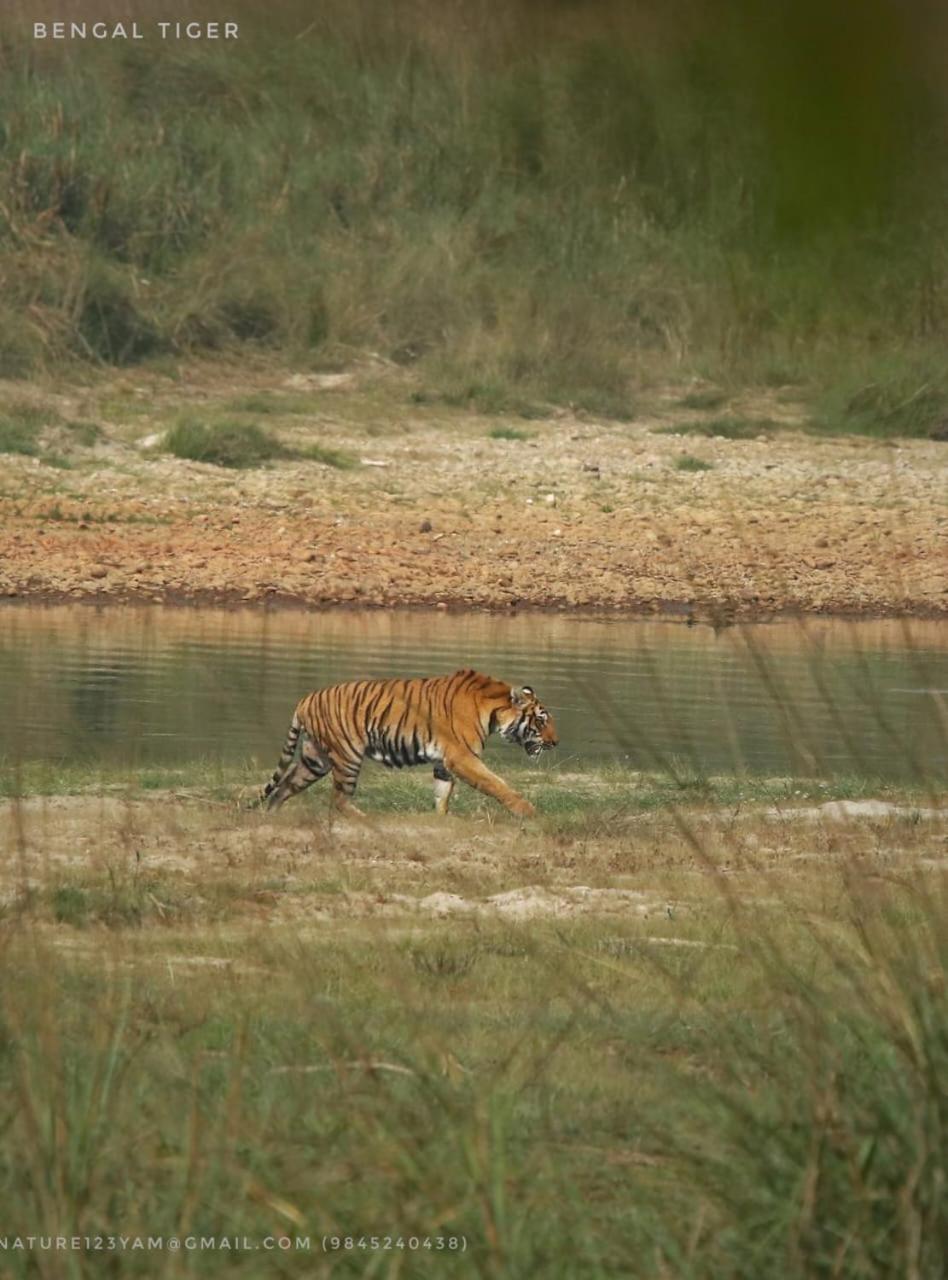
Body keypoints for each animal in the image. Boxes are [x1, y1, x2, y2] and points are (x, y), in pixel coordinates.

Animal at [254, 670, 557, 819]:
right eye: (541, 720)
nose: (556, 742)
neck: (492, 709)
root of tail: (304, 700)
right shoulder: (462, 757)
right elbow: (497, 785)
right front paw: (529, 812)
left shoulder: (444, 762)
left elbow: (442, 793)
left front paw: (441, 819)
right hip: (347, 755)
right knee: (338, 799)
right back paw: (365, 818)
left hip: (316, 759)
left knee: (284, 786)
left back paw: (271, 817)